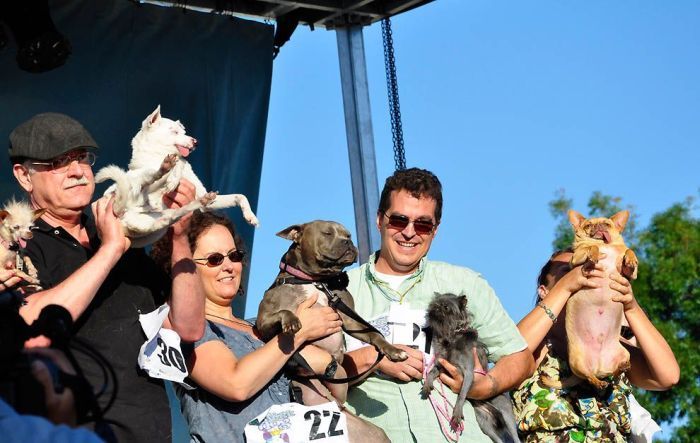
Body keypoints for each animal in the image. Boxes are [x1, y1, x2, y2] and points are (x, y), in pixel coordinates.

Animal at [97, 106, 262, 248]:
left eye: (183, 132)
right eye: (175, 132)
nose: (196, 142)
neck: (159, 155)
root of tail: (121, 214)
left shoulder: (208, 201)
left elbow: (240, 196)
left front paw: (250, 216)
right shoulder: (147, 177)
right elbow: (176, 166)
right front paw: (172, 177)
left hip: (156, 221)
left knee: (175, 215)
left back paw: (200, 200)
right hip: (136, 187)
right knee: (151, 178)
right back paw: (164, 169)